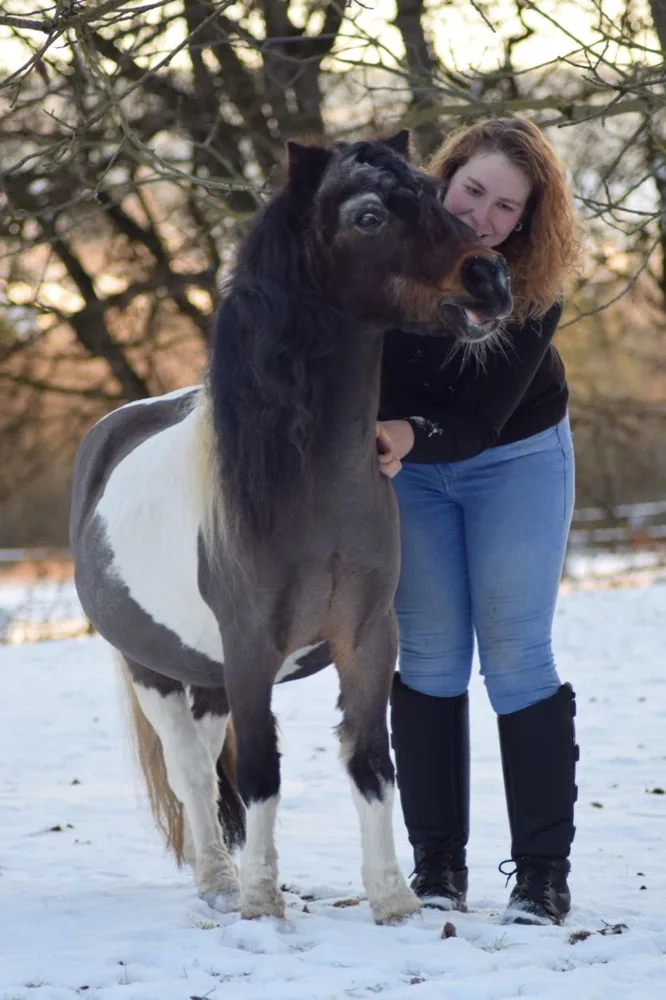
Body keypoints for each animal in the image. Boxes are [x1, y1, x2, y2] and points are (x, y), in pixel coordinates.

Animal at [70, 132, 512, 925]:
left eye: (440, 196)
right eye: (368, 216)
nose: (490, 277)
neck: (306, 487)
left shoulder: (367, 637)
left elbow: (371, 760)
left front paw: (393, 899)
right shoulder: (250, 648)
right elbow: (262, 773)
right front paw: (261, 903)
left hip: (205, 674)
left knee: (207, 765)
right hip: (154, 670)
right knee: (190, 770)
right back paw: (220, 882)